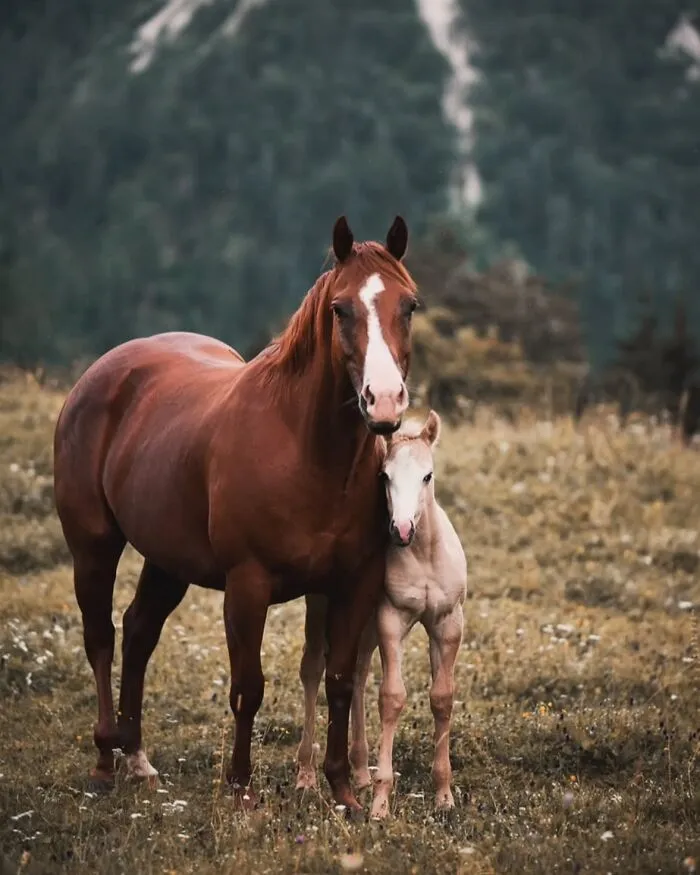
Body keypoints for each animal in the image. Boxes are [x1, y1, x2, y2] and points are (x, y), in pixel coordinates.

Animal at [52, 215, 419, 815]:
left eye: (409, 305)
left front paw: (343, 790)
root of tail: (102, 372)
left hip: (167, 560)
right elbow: (249, 686)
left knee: (138, 631)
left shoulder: (354, 583)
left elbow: (341, 679)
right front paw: (241, 789)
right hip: (93, 548)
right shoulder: (248, 585)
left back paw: (138, 758)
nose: (383, 402)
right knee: (101, 637)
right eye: (340, 309)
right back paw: (106, 761)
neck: (309, 453)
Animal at [296, 410, 467, 818]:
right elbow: (391, 697)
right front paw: (380, 803)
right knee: (312, 668)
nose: (401, 530)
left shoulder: (448, 623)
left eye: (427, 475)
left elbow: (442, 698)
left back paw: (359, 771)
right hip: (323, 607)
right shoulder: (393, 620)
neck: (424, 554)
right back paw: (306, 775)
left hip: (365, 624)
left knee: (357, 675)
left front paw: (444, 796)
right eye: (384, 476)